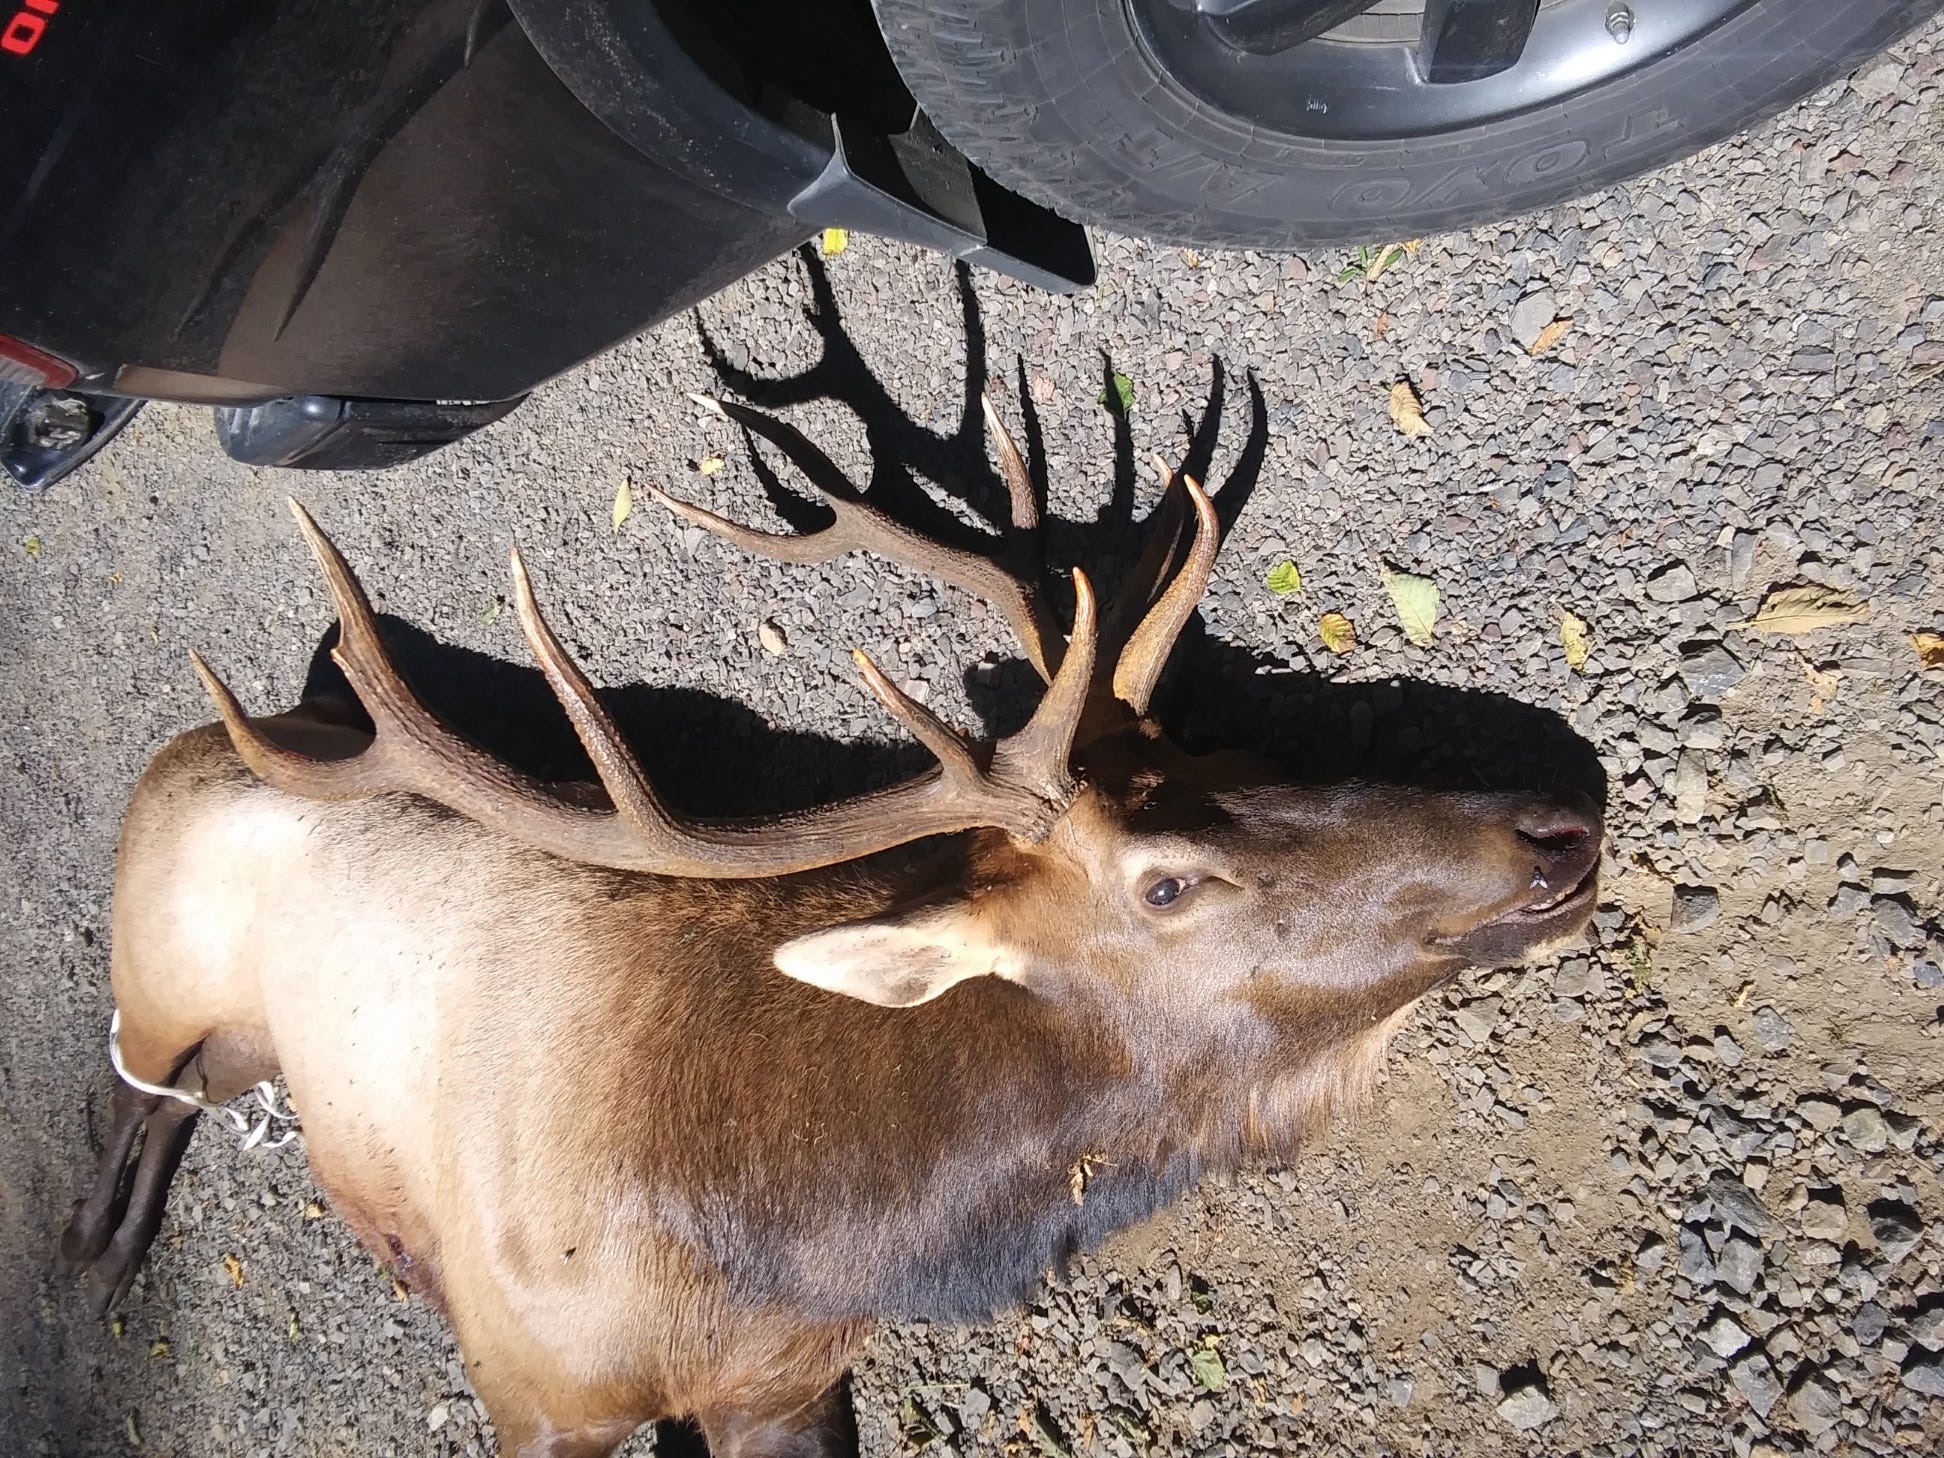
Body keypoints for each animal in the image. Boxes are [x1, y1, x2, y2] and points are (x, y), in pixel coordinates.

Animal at [61, 396, 1602, 1457]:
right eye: (1164, 882)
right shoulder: (539, 1394)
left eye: (1239, 751)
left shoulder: (783, 1378)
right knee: (129, 1080)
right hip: (160, 967)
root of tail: (217, 736)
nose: (1557, 825)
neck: (785, 1241)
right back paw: (94, 1241)